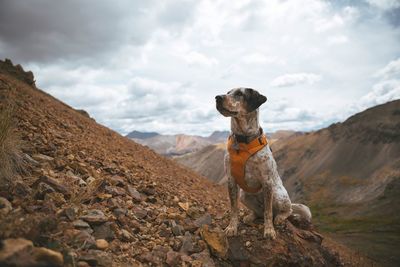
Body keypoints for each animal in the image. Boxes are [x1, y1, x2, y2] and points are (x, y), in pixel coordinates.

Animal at [216, 88, 312, 241]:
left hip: (278, 194)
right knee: (259, 212)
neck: (243, 143)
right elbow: (234, 209)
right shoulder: (231, 180)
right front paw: (232, 227)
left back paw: (279, 218)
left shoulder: (267, 182)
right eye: (228, 92)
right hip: (244, 195)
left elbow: (268, 212)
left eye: (239, 94)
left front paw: (269, 231)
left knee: (285, 210)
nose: (217, 98)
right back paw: (250, 216)